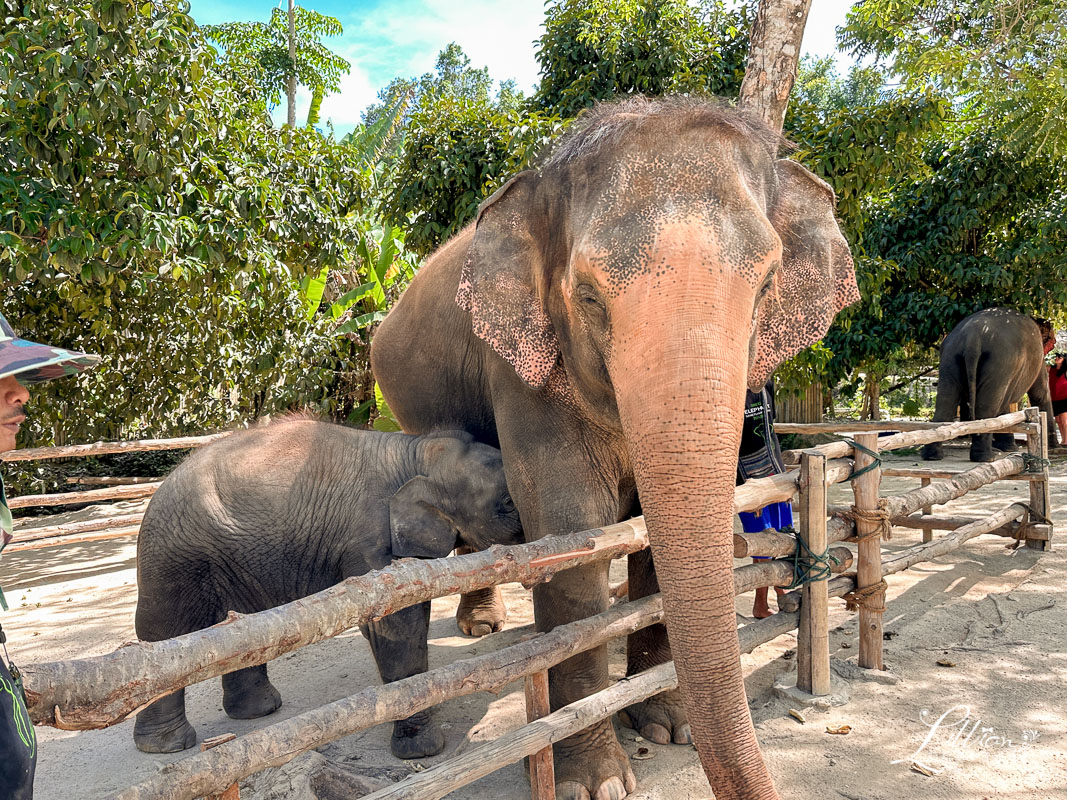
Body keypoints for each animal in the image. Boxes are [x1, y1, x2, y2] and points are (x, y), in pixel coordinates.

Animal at [131, 416, 522, 759]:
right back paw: (167, 746)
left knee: (241, 630)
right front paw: (423, 750)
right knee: (161, 634)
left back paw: (260, 711)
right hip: (173, 559)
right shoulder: (370, 543)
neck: (418, 451)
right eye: (506, 504)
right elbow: (395, 624)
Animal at [373, 95, 857, 800]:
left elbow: (653, 536)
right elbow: (571, 529)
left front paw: (668, 728)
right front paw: (594, 783)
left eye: (766, 286)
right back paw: (482, 628)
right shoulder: (522, 370)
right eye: (588, 296)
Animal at [917, 309, 1058, 467]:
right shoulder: (1037, 358)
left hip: (950, 357)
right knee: (987, 407)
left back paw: (932, 456)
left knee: (945, 403)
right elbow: (1040, 394)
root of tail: (972, 337)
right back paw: (986, 457)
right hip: (1000, 361)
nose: (1054, 447)